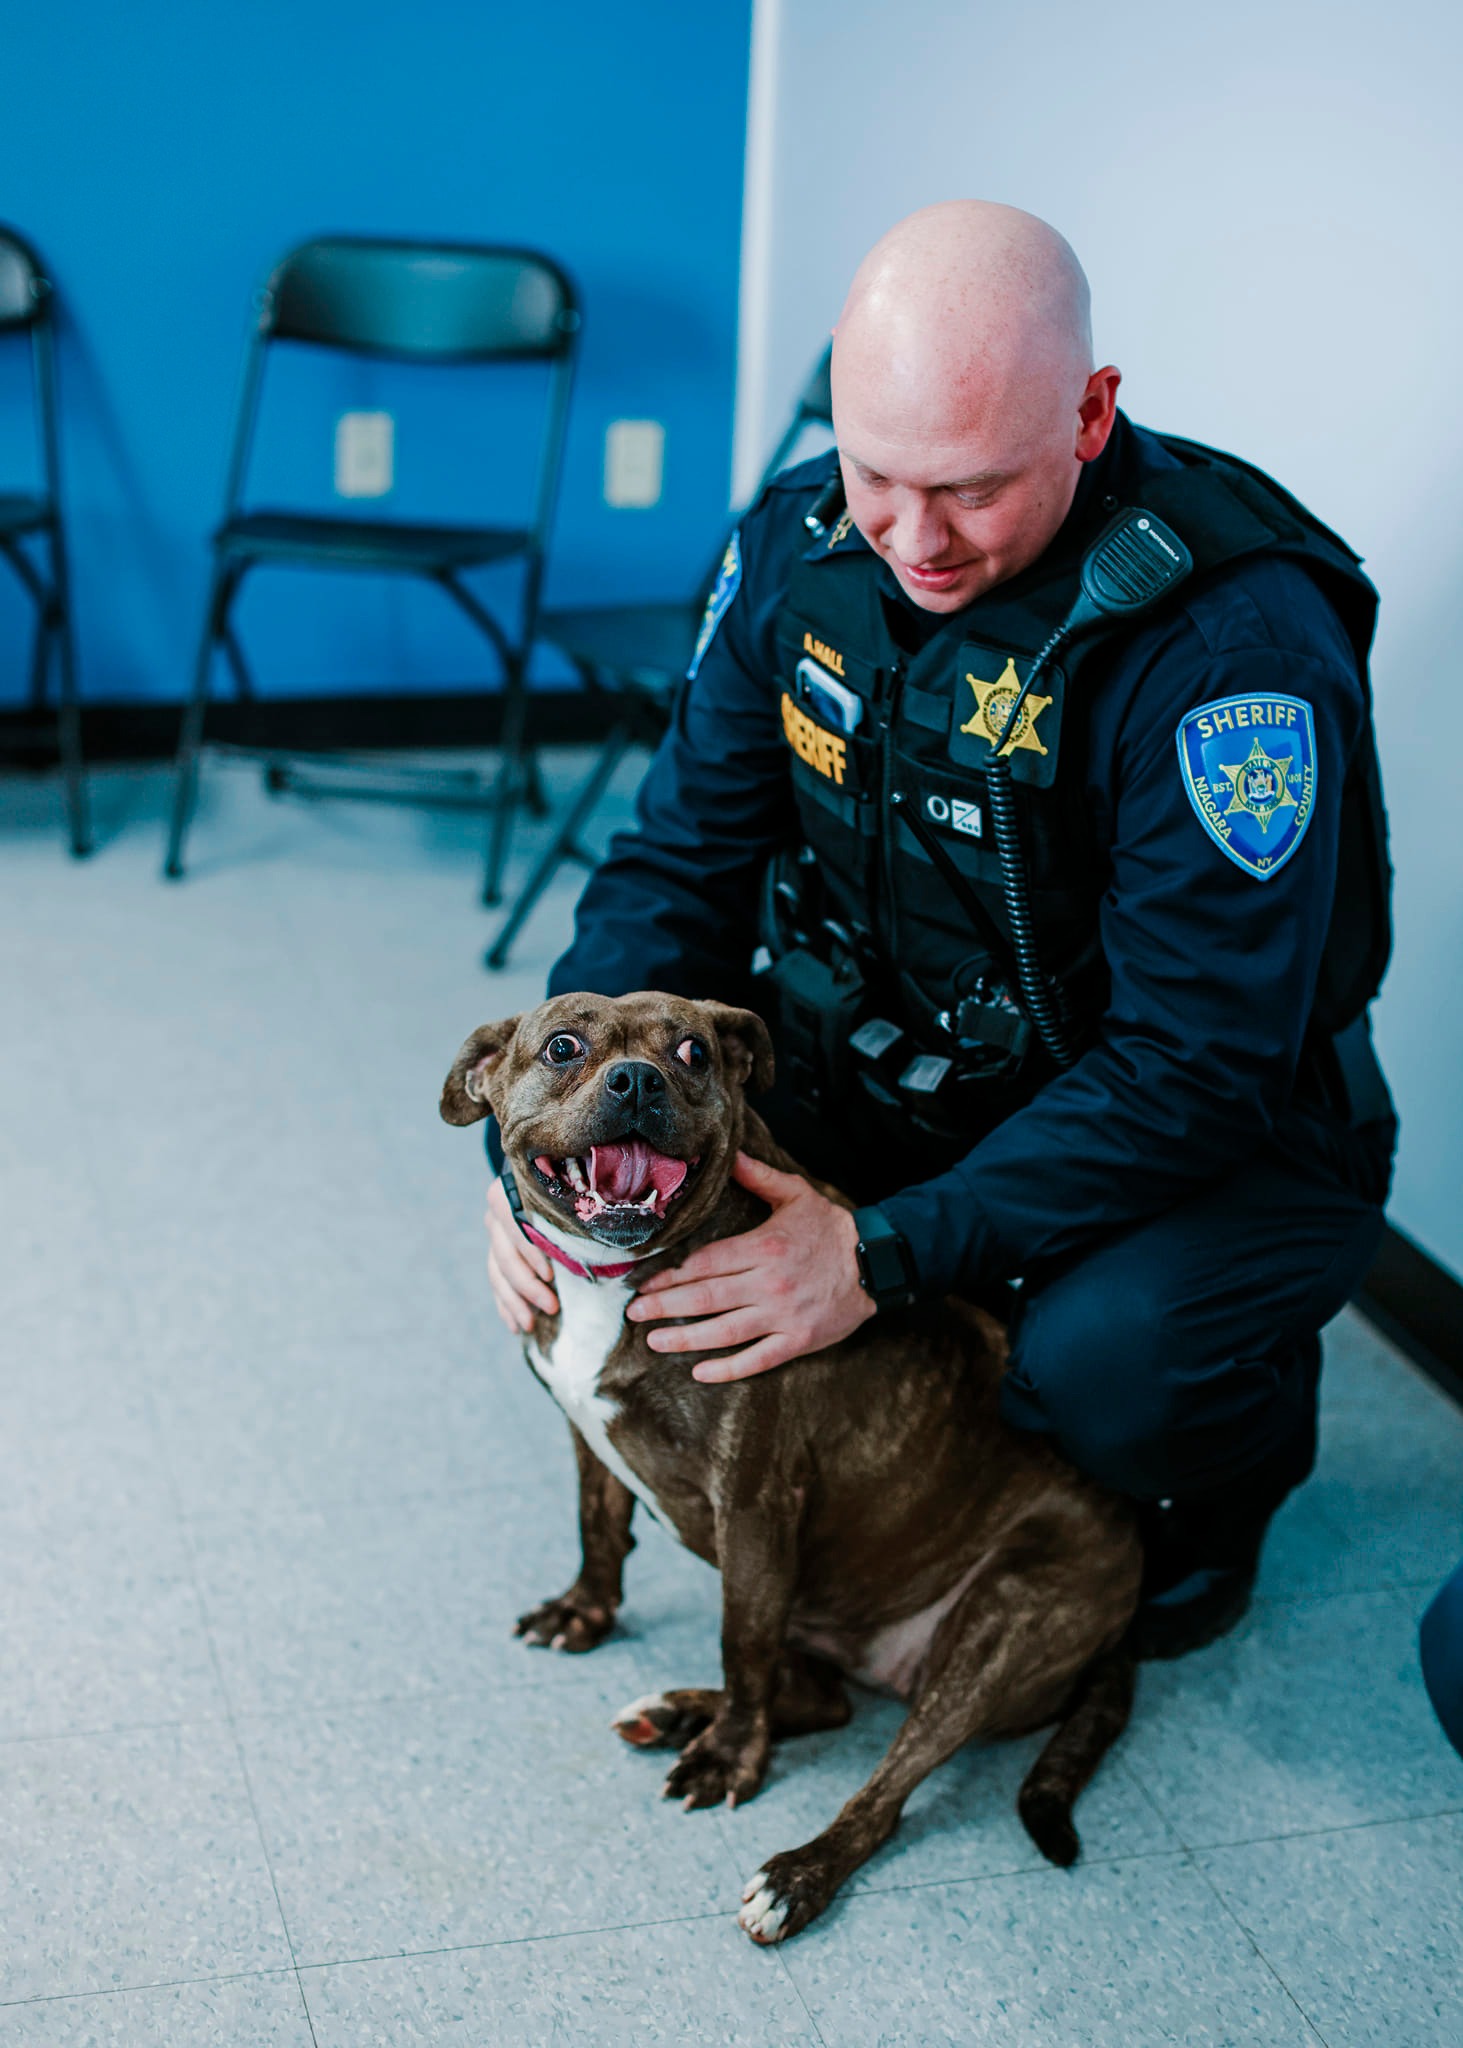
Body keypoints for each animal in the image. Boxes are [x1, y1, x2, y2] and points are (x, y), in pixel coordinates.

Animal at [444, 999, 1139, 1941]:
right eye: (563, 1047)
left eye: (692, 1050)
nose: (637, 1081)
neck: (617, 1281)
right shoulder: (588, 1435)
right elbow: (598, 1530)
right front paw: (583, 1614)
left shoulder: (753, 1506)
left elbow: (740, 1647)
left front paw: (730, 1760)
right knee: (817, 1697)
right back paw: (676, 1713)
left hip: (998, 1624)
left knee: (879, 1791)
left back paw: (794, 1872)